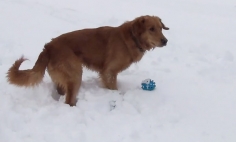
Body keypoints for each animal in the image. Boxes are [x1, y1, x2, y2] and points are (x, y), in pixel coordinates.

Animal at [6, 15, 169, 106]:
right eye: (151, 29)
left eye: (161, 28)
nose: (165, 41)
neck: (131, 38)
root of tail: (48, 47)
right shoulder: (109, 71)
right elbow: (113, 88)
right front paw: (115, 98)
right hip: (75, 73)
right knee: (68, 100)